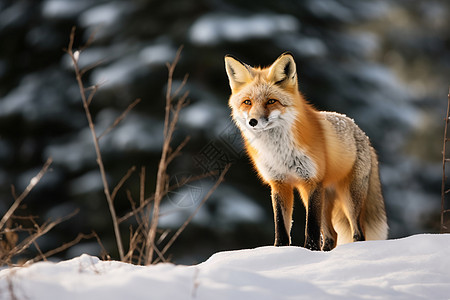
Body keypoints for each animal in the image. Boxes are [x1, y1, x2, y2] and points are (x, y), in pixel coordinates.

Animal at [227, 52, 388, 250]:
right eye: (247, 102)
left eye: (271, 101)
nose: (253, 122)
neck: (279, 151)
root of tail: (361, 132)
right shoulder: (279, 183)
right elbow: (281, 226)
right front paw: (280, 251)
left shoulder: (312, 181)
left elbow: (311, 227)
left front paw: (310, 250)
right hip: (321, 197)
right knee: (331, 235)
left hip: (348, 197)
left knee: (358, 232)